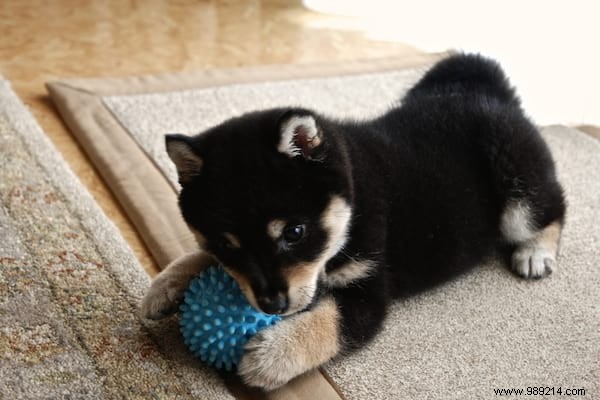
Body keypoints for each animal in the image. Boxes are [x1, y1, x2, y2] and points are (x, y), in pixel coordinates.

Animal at [142, 54, 568, 390]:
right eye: (227, 244)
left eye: (294, 233)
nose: (272, 305)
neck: (355, 199)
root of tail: (491, 96)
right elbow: (201, 258)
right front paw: (166, 284)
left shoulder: (370, 289)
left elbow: (329, 322)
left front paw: (272, 355)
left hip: (517, 191)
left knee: (552, 207)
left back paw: (535, 253)